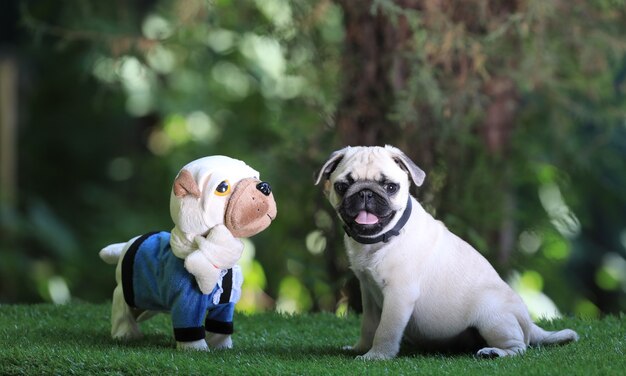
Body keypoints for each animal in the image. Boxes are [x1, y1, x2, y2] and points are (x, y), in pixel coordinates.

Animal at [314, 145, 576, 360]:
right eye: (342, 186)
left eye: (390, 187)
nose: (366, 193)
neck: (380, 239)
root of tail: (529, 323)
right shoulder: (368, 293)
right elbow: (369, 326)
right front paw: (360, 348)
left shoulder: (399, 295)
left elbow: (385, 330)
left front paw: (377, 356)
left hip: (493, 318)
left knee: (520, 346)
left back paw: (495, 352)